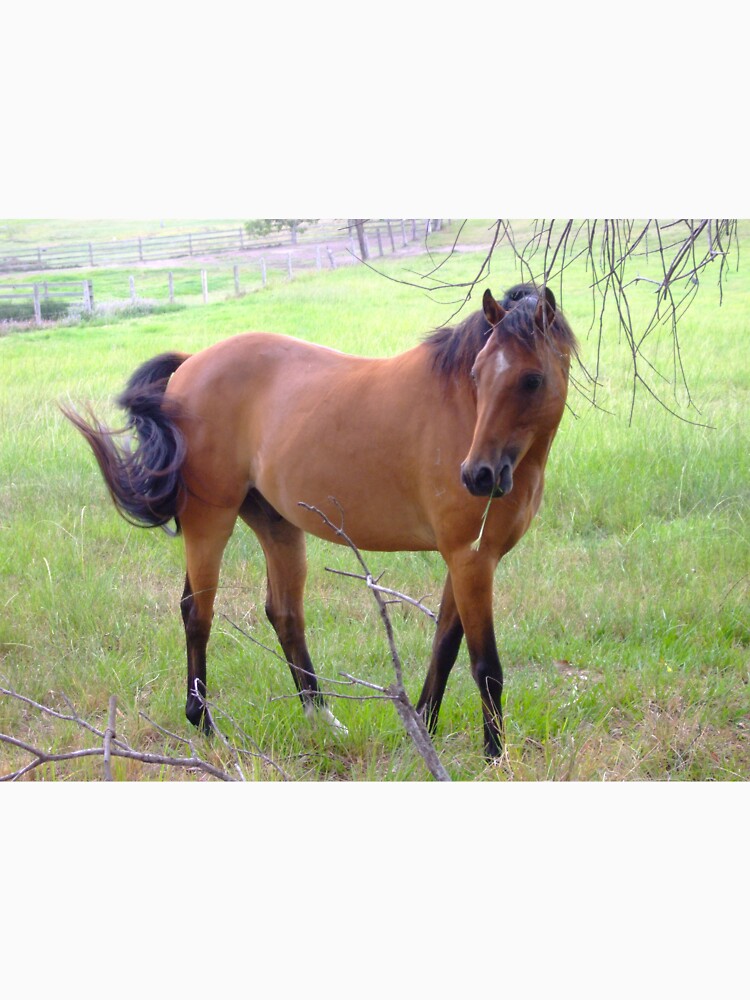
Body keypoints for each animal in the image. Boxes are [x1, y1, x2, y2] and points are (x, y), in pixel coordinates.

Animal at [61, 284, 577, 759]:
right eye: (476, 374)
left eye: (531, 379)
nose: (478, 475)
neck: (461, 411)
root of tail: (189, 366)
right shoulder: (472, 560)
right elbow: (484, 666)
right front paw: (493, 757)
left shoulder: (464, 559)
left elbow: (445, 648)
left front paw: (424, 734)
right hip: (210, 522)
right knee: (196, 612)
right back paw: (205, 725)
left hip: (276, 525)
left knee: (284, 614)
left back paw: (324, 720)